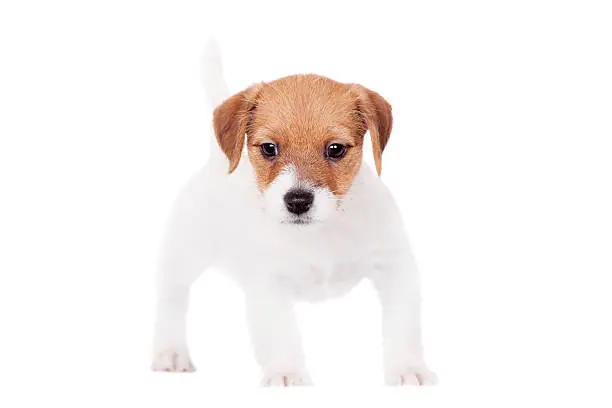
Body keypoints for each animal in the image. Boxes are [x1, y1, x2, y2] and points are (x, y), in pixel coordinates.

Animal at [154, 43, 440, 388]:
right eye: (268, 148)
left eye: (335, 149)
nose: (298, 200)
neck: (318, 234)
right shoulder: (268, 283)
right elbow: (281, 332)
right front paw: (286, 372)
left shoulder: (395, 267)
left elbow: (403, 325)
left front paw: (408, 368)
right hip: (185, 254)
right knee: (172, 298)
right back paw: (170, 352)